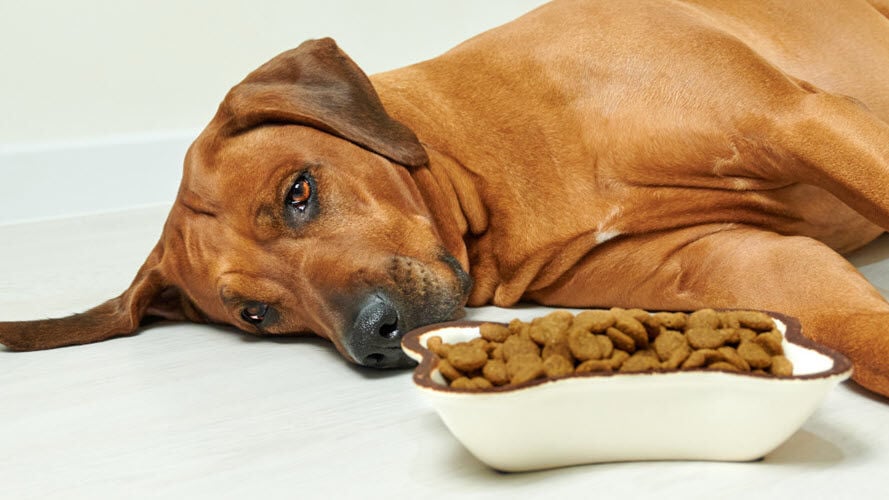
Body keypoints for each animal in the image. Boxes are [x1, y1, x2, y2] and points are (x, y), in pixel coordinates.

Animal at [1, 0, 888, 398]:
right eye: (257, 314)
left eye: (298, 192)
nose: (372, 336)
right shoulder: (732, 260)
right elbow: (845, 320)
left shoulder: (802, 118)